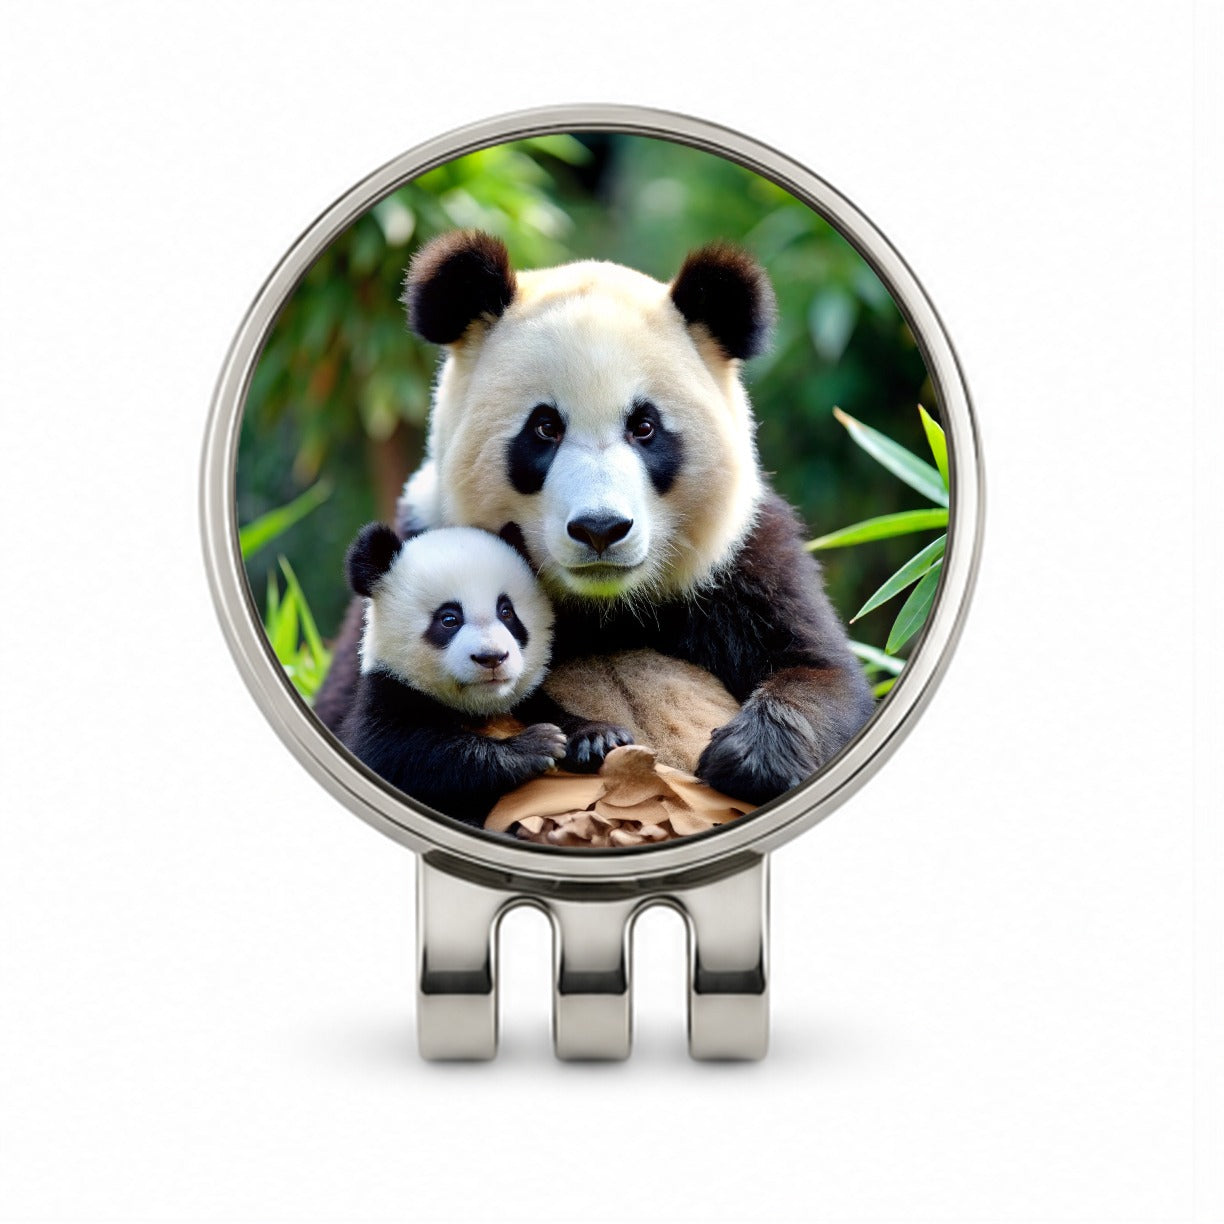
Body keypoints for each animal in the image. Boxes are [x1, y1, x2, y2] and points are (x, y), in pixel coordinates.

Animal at [340, 523, 574, 825]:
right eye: (449, 619)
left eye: (507, 612)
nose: (491, 657)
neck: (477, 708)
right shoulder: (387, 699)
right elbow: (415, 756)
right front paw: (536, 746)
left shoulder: (523, 704)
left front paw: (594, 738)